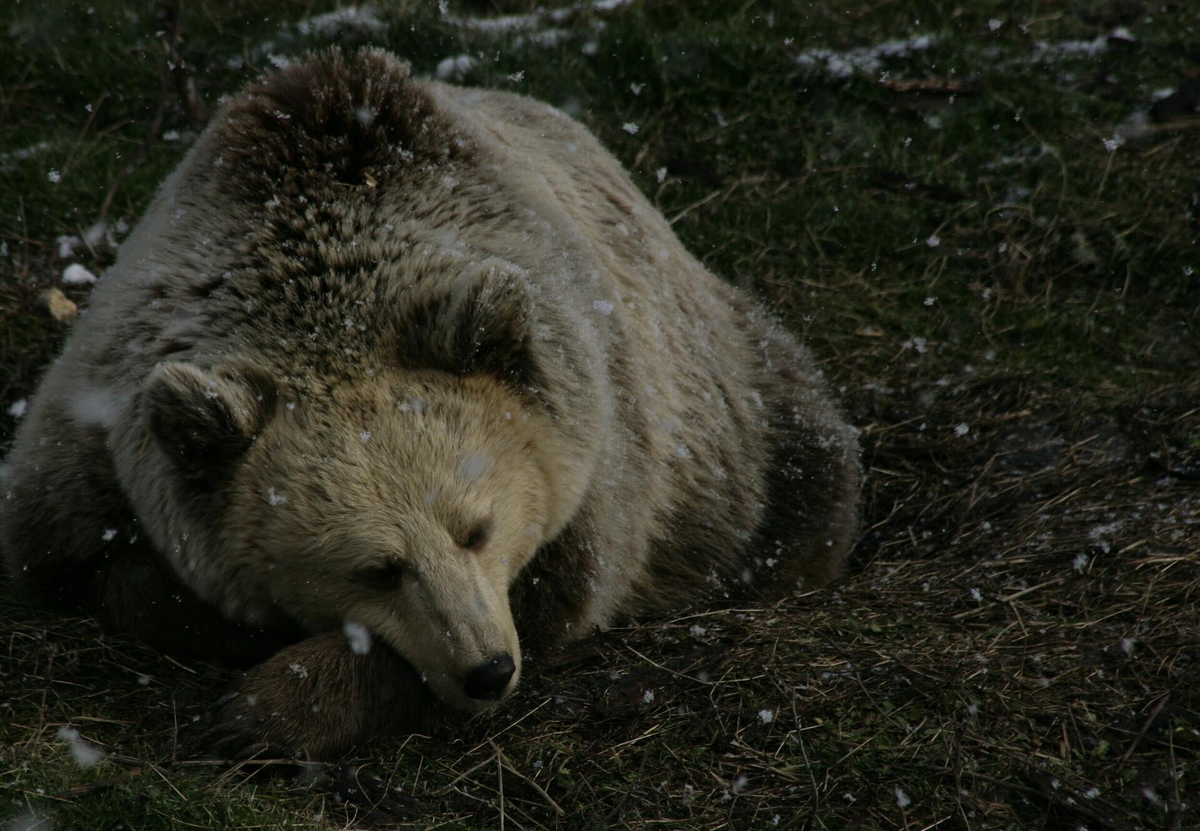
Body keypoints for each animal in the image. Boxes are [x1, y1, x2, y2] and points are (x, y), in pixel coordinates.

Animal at [2, 48, 864, 754]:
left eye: (476, 526)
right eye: (377, 566)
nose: (487, 667)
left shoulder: (599, 449)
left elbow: (551, 596)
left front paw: (272, 703)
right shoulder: (92, 438)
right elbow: (97, 565)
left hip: (726, 405)